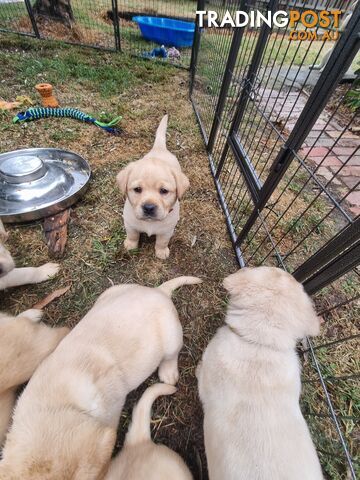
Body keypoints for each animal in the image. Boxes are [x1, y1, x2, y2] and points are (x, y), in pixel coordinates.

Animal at [117, 115, 191, 260]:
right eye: (137, 189)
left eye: (164, 191)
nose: (149, 207)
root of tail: (159, 148)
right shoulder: (130, 224)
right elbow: (132, 235)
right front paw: (130, 245)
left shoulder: (167, 231)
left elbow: (162, 242)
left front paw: (161, 251)